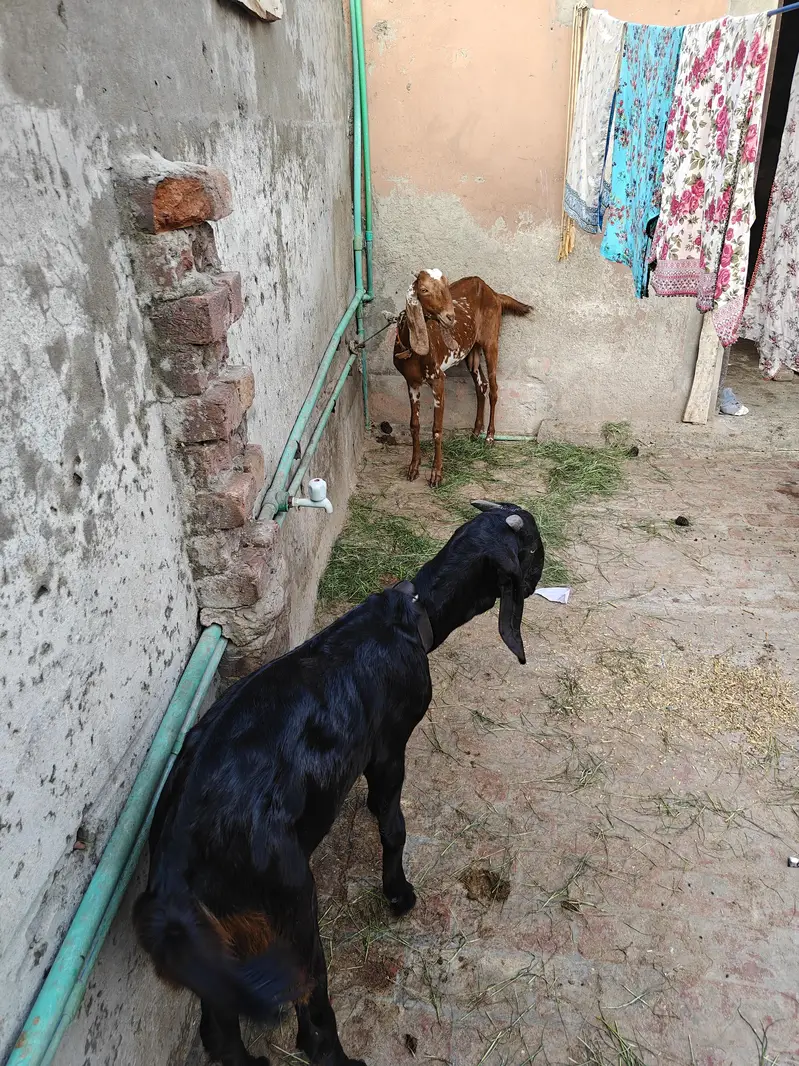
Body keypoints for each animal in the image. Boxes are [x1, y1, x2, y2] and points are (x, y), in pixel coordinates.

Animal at [134, 500, 543, 1066]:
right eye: (534, 546)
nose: (544, 573)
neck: (410, 616)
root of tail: (175, 860)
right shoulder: (389, 747)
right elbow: (392, 824)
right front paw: (398, 893)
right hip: (290, 908)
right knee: (312, 1014)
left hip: (223, 939)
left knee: (219, 1027)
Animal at [393, 269, 533, 487]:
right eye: (423, 289)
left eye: (446, 286)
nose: (450, 317)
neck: (411, 350)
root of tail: (494, 293)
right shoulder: (412, 382)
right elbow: (414, 425)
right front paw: (413, 468)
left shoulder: (438, 379)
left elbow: (437, 429)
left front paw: (436, 474)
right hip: (471, 352)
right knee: (481, 386)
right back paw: (476, 431)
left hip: (491, 341)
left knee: (493, 389)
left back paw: (489, 437)